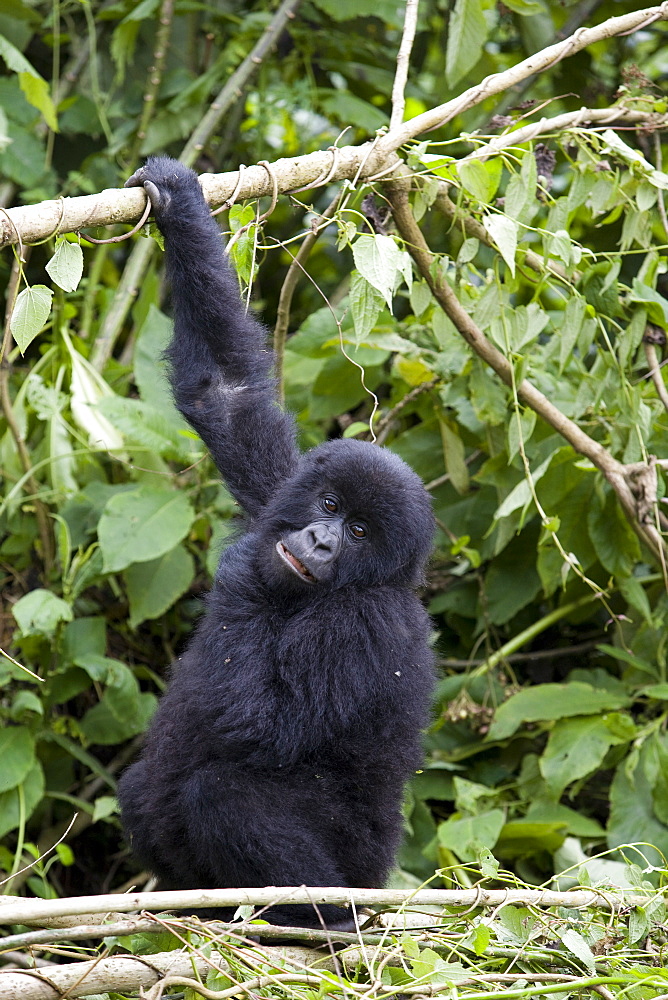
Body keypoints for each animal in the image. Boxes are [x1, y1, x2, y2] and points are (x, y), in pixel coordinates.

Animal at [117, 156, 436, 928]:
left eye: (359, 533)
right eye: (329, 504)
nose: (318, 540)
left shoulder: (363, 622)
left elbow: (261, 720)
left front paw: (241, 575)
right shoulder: (279, 491)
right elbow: (226, 393)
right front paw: (179, 204)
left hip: (362, 867)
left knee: (226, 793)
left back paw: (323, 920)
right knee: (144, 792)